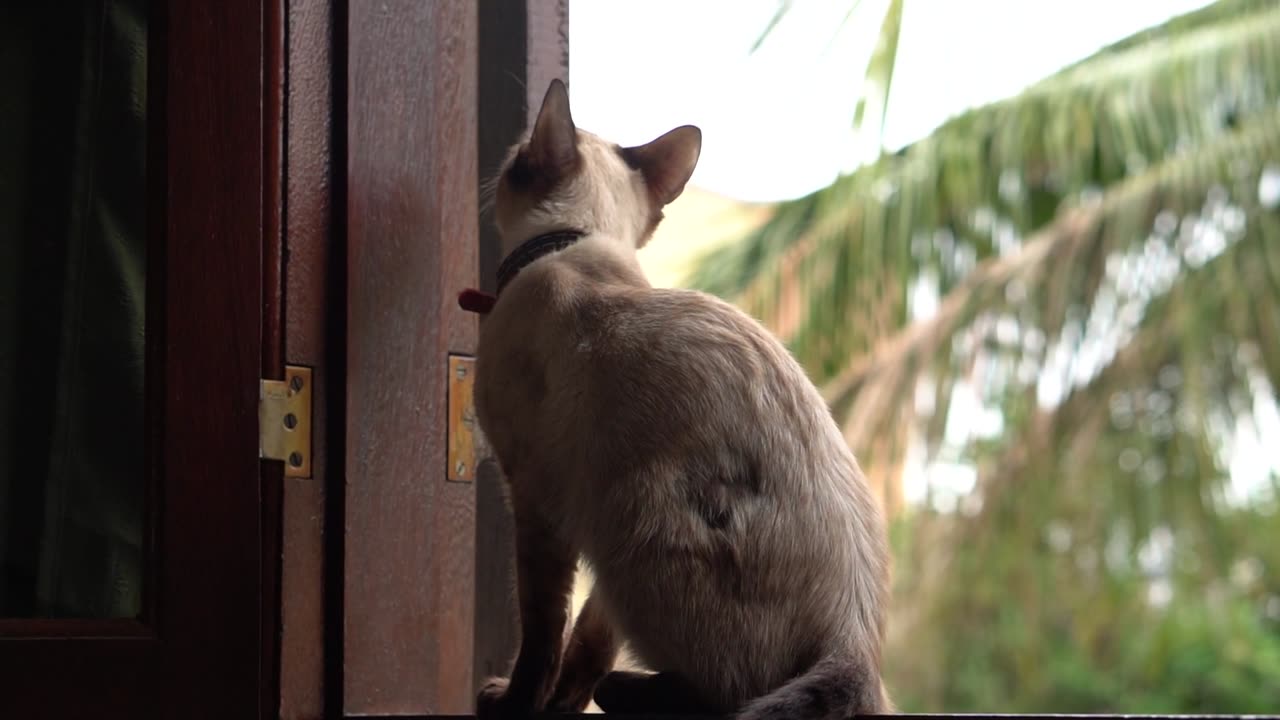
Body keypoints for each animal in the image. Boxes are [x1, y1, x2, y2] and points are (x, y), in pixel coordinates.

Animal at [471, 79, 890, 717]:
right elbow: (586, 644)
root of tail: (856, 635)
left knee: (730, 695)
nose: (497, 167)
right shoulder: (583, 550)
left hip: (634, 522)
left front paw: (516, 705)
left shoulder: (535, 499)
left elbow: (543, 633)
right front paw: (563, 705)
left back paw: (632, 693)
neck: (572, 245)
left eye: (516, 153)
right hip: (620, 543)